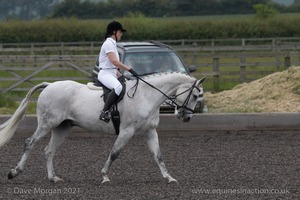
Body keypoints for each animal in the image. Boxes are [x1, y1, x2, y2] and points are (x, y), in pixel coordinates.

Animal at [0, 72, 204, 184]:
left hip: (62, 127)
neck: (147, 95)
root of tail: (49, 85)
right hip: (46, 124)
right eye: (195, 95)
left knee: (48, 151)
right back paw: (14, 172)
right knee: (29, 143)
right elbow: (114, 153)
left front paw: (169, 177)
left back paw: (53, 178)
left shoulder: (150, 131)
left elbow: (158, 155)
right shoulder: (127, 131)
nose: (186, 118)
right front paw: (104, 176)